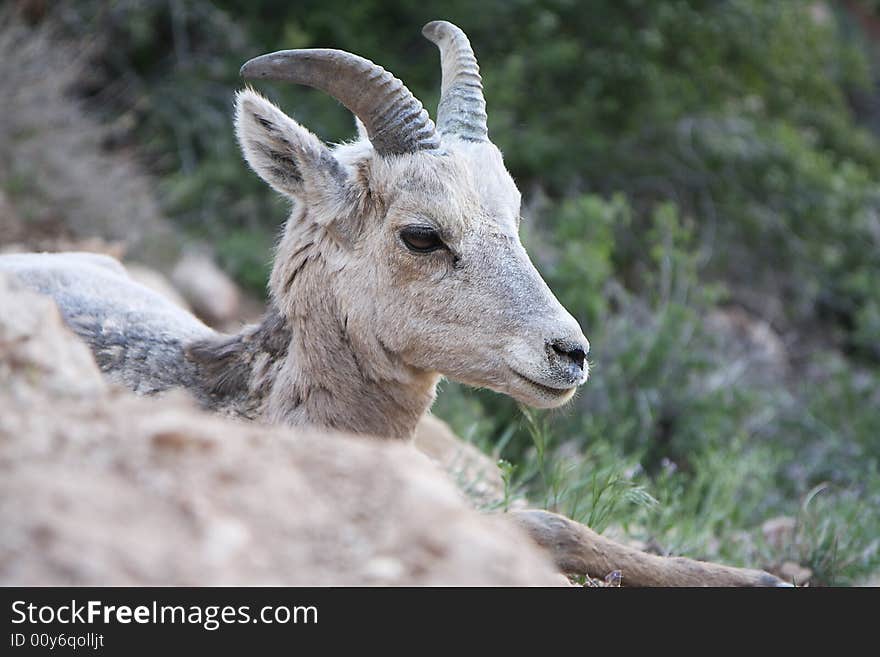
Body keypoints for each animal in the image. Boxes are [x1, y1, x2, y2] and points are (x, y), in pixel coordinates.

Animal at [0, 19, 784, 584]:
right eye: (422, 234)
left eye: (514, 213)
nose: (569, 352)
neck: (243, 398)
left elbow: (547, 522)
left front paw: (756, 578)